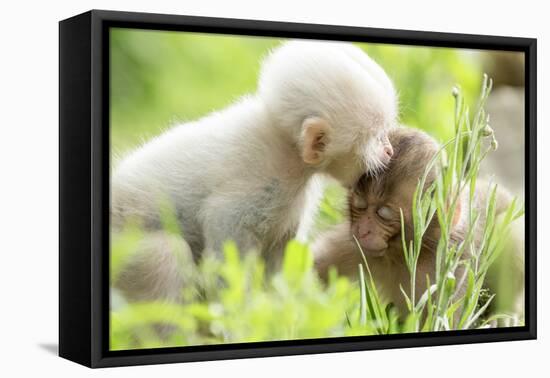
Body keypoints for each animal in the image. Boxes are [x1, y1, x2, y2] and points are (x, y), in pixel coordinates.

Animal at [112, 40, 398, 302]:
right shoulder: (255, 188)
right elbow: (226, 245)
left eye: (385, 133)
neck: (287, 148)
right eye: (377, 138)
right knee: (163, 256)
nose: (389, 151)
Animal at [314, 127, 528, 318]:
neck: (401, 255)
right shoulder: (354, 246)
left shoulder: (450, 268)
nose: (363, 231)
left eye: (384, 214)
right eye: (360, 205)